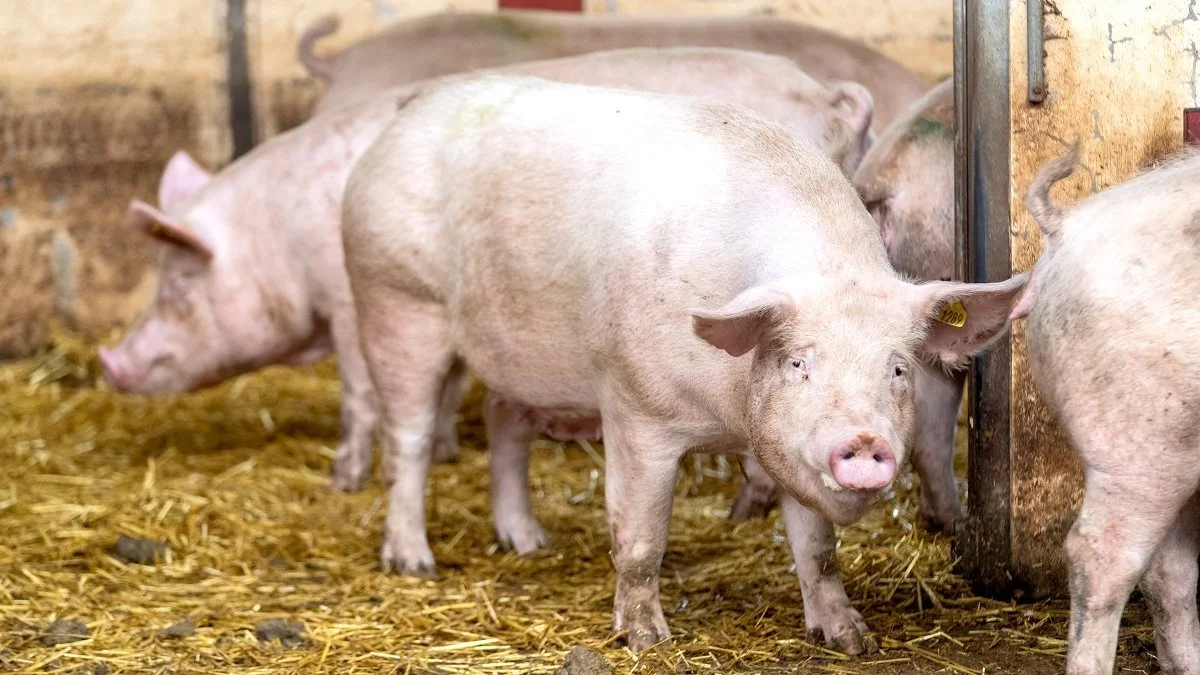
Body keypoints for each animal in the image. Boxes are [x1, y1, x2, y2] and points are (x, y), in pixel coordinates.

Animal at [98, 45, 878, 504]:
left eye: (177, 286)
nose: (111, 363)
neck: (283, 234)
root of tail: (830, 95)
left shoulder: (351, 305)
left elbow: (358, 395)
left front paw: (345, 478)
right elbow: (444, 386)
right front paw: (443, 449)